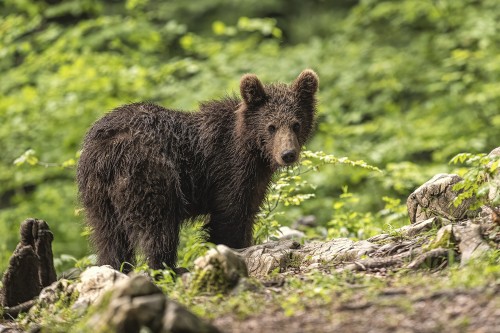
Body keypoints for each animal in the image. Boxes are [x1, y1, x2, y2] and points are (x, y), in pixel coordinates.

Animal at [77, 69, 320, 270]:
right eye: (271, 127)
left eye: (296, 124)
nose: (287, 154)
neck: (252, 149)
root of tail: (108, 149)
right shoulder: (228, 169)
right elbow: (230, 218)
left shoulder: (254, 180)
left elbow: (247, 212)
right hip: (151, 174)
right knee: (159, 227)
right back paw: (166, 269)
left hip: (98, 194)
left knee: (109, 236)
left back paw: (116, 266)